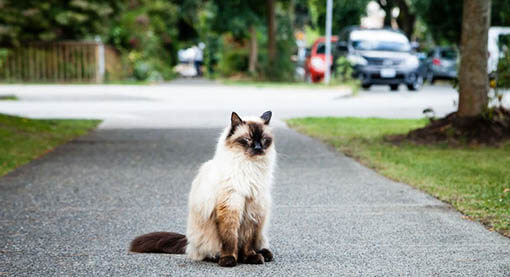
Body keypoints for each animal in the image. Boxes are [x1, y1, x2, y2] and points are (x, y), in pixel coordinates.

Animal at [129, 111, 276, 266]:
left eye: (264, 140)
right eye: (247, 139)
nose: (258, 148)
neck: (249, 167)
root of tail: (188, 242)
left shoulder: (252, 211)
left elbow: (248, 242)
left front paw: (251, 258)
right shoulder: (230, 208)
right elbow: (230, 239)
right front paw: (229, 260)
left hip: (261, 230)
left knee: (256, 245)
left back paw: (264, 254)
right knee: (208, 252)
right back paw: (220, 258)